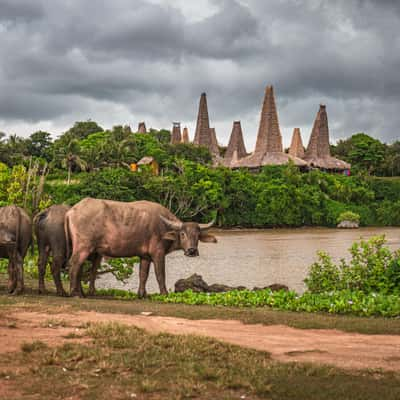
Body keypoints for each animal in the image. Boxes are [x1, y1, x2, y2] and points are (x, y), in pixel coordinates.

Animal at [65, 199, 217, 296]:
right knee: (74, 264)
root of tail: (71, 211)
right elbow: (160, 274)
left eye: (197, 235)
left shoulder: (145, 256)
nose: (191, 251)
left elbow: (143, 275)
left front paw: (142, 294)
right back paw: (74, 292)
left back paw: (82, 292)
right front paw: (164, 293)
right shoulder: (158, 253)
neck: (164, 227)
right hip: (84, 247)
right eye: (183, 234)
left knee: (80, 267)